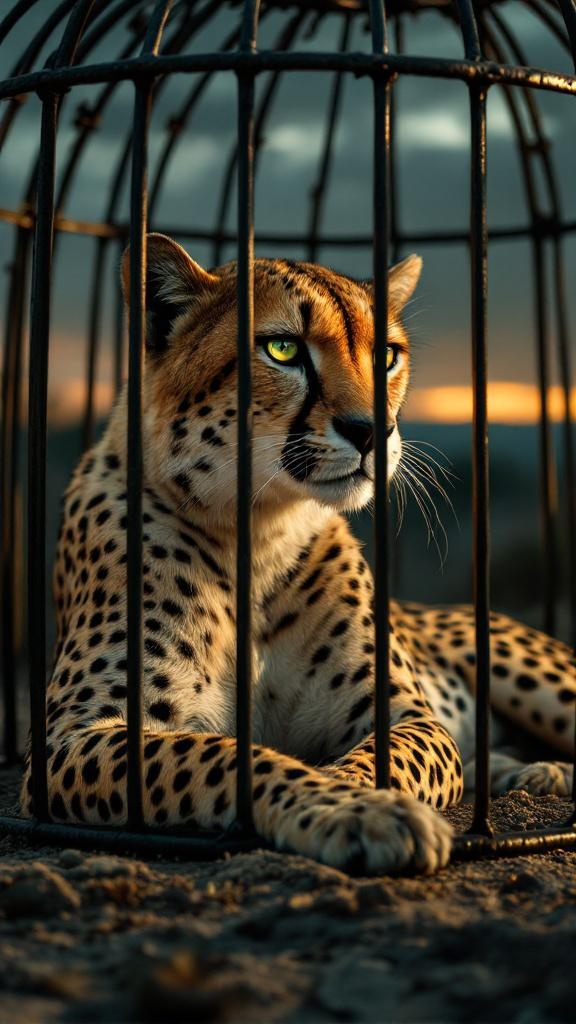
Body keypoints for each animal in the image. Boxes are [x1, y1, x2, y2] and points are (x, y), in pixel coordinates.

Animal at [21, 233, 575, 875]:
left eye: (387, 354)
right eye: (283, 349)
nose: (372, 430)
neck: (259, 532)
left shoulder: (409, 715)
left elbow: (387, 759)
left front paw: (361, 799)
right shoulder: (70, 738)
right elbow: (221, 756)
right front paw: (355, 811)